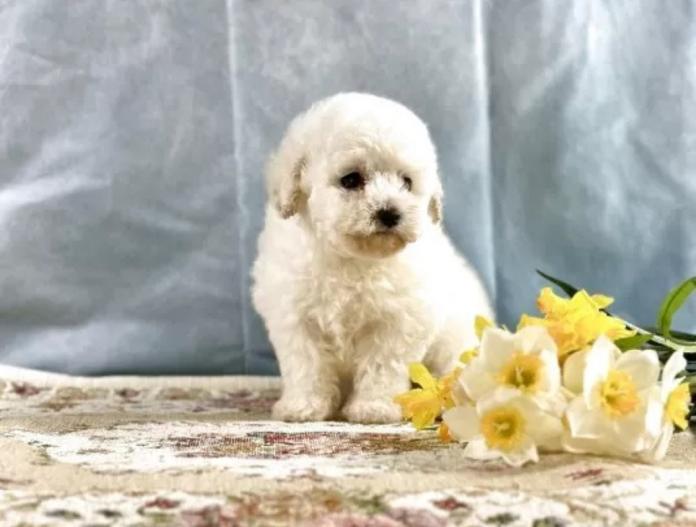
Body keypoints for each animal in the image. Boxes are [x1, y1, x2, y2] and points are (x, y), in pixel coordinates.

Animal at [252, 93, 493, 423]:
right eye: (351, 179)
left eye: (406, 182)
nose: (390, 213)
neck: (350, 258)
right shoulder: (295, 316)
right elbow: (306, 364)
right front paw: (303, 405)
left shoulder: (398, 319)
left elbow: (382, 365)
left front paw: (374, 407)